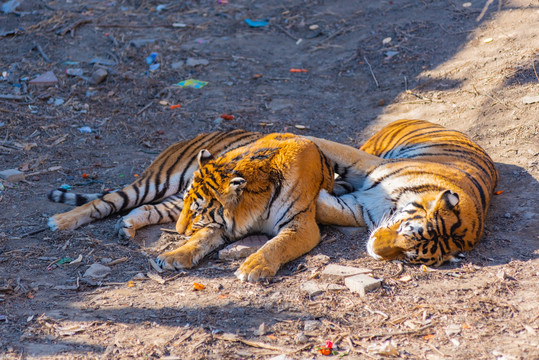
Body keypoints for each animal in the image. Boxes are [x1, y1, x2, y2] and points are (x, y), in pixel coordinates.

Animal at [154, 132, 336, 282]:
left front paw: (252, 267)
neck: (257, 207)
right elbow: (199, 239)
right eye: (184, 202)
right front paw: (172, 256)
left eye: (197, 211)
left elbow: (277, 245)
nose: (178, 231)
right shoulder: (223, 225)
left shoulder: (301, 225)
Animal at [310, 119, 500, 266]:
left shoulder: (360, 206)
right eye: (401, 228)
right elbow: (326, 145)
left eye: (406, 255)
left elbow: (330, 211)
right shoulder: (367, 164)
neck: (391, 204)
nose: (373, 248)